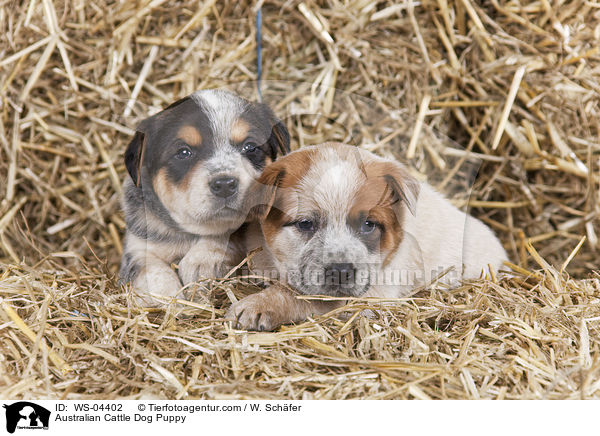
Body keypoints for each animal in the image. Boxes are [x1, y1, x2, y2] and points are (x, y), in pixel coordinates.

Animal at [119, 90, 288, 304]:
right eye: (184, 152)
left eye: (250, 147)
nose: (225, 184)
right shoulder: (137, 243)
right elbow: (148, 267)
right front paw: (166, 296)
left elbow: (230, 233)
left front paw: (201, 263)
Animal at [227, 143, 508, 330]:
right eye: (305, 223)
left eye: (368, 224)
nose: (341, 271)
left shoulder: (370, 295)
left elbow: (298, 295)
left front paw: (253, 308)